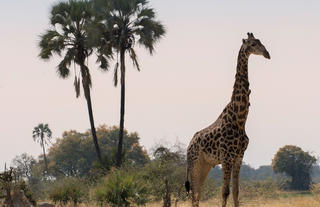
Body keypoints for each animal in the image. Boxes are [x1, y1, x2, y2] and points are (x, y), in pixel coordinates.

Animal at [185, 32, 270, 207]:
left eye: (260, 41)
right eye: (252, 44)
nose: (267, 54)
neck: (240, 119)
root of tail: (188, 147)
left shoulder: (239, 157)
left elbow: (236, 192)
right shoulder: (226, 157)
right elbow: (225, 191)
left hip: (205, 165)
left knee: (197, 194)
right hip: (195, 164)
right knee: (194, 195)